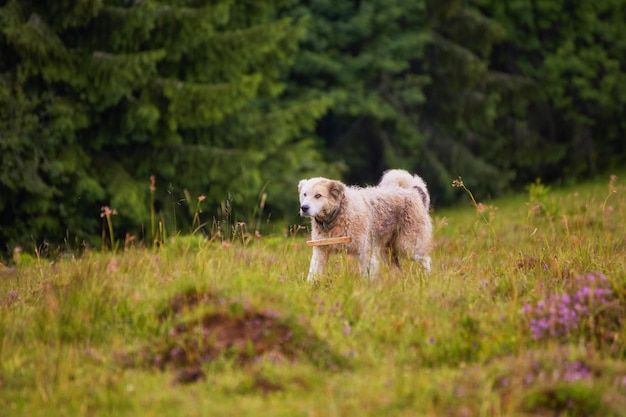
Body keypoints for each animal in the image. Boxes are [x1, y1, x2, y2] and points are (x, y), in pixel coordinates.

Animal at [298, 168, 428, 280]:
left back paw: (426, 278)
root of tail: (413, 191)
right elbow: (312, 275)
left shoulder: (364, 253)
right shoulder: (320, 252)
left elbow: (367, 277)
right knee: (397, 268)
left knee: (426, 259)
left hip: (408, 246)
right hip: (387, 251)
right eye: (304, 194)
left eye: (318, 195)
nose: (304, 208)